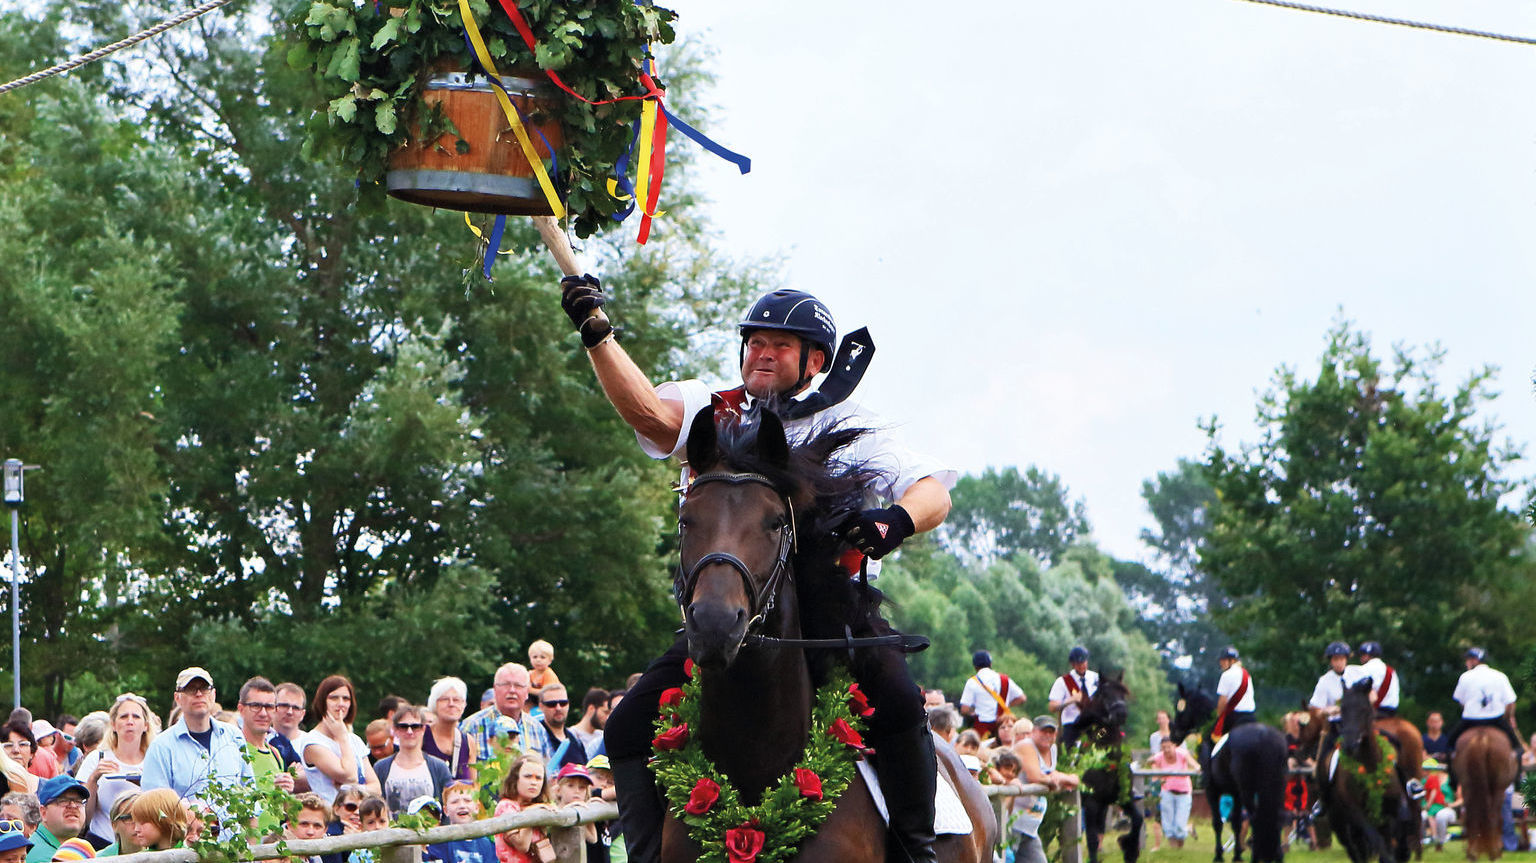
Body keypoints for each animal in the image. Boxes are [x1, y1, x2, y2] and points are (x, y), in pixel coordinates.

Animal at [1081, 672, 1142, 859]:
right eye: (1105, 694)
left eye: (1123, 693)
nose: (1121, 713)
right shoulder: (1091, 803)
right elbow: (1091, 840)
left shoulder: (1123, 797)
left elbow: (1138, 819)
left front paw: (1129, 848)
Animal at [1167, 681, 1290, 853]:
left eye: (1179, 709)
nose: (1173, 736)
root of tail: (1264, 736)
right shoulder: (1235, 793)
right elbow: (1236, 824)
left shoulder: (1212, 790)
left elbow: (1218, 822)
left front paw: (1221, 852)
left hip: (1248, 790)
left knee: (1256, 817)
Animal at [1449, 721, 1523, 853]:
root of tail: (1482, 738)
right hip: (1498, 789)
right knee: (1493, 816)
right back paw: (1494, 849)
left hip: (1468, 786)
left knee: (1472, 815)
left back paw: (1473, 850)